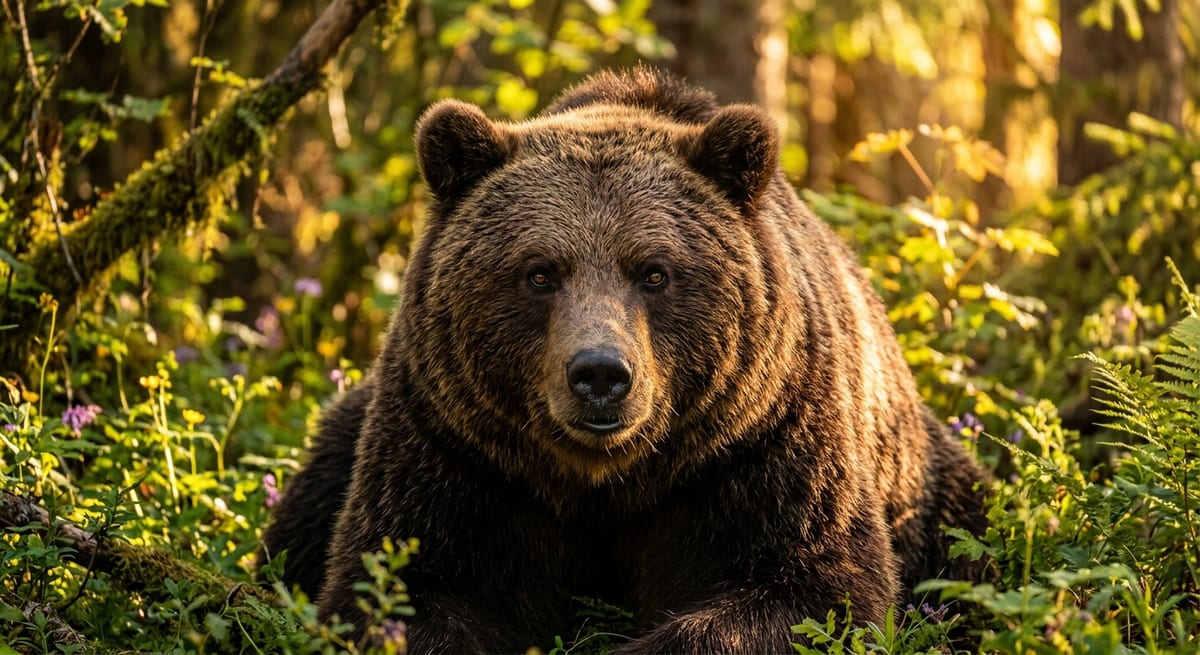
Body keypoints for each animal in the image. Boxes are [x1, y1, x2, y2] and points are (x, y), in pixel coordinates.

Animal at [260, 67, 988, 653]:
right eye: (540, 272)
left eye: (654, 271)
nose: (601, 374)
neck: (609, 480)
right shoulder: (458, 452)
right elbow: (401, 585)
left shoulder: (760, 447)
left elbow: (811, 591)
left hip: (927, 486)